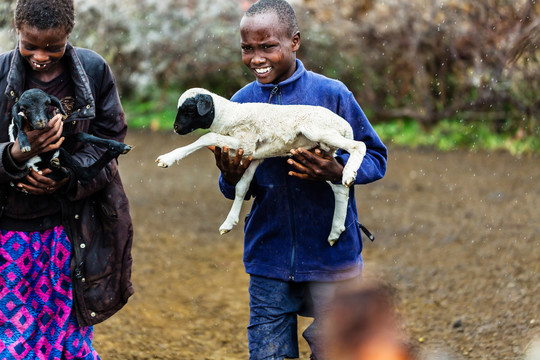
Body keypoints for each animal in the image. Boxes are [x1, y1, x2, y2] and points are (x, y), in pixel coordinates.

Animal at [156, 88, 368, 245]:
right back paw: (335, 230)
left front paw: (167, 158)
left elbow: (207, 137)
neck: (228, 116)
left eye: (189, 110)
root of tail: (345, 125)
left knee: (359, 145)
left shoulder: (246, 142)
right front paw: (229, 222)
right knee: (340, 188)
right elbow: (241, 188)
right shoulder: (254, 156)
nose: (176, 128)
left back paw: (350, 173)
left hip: (318, 131)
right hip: (322, 154)